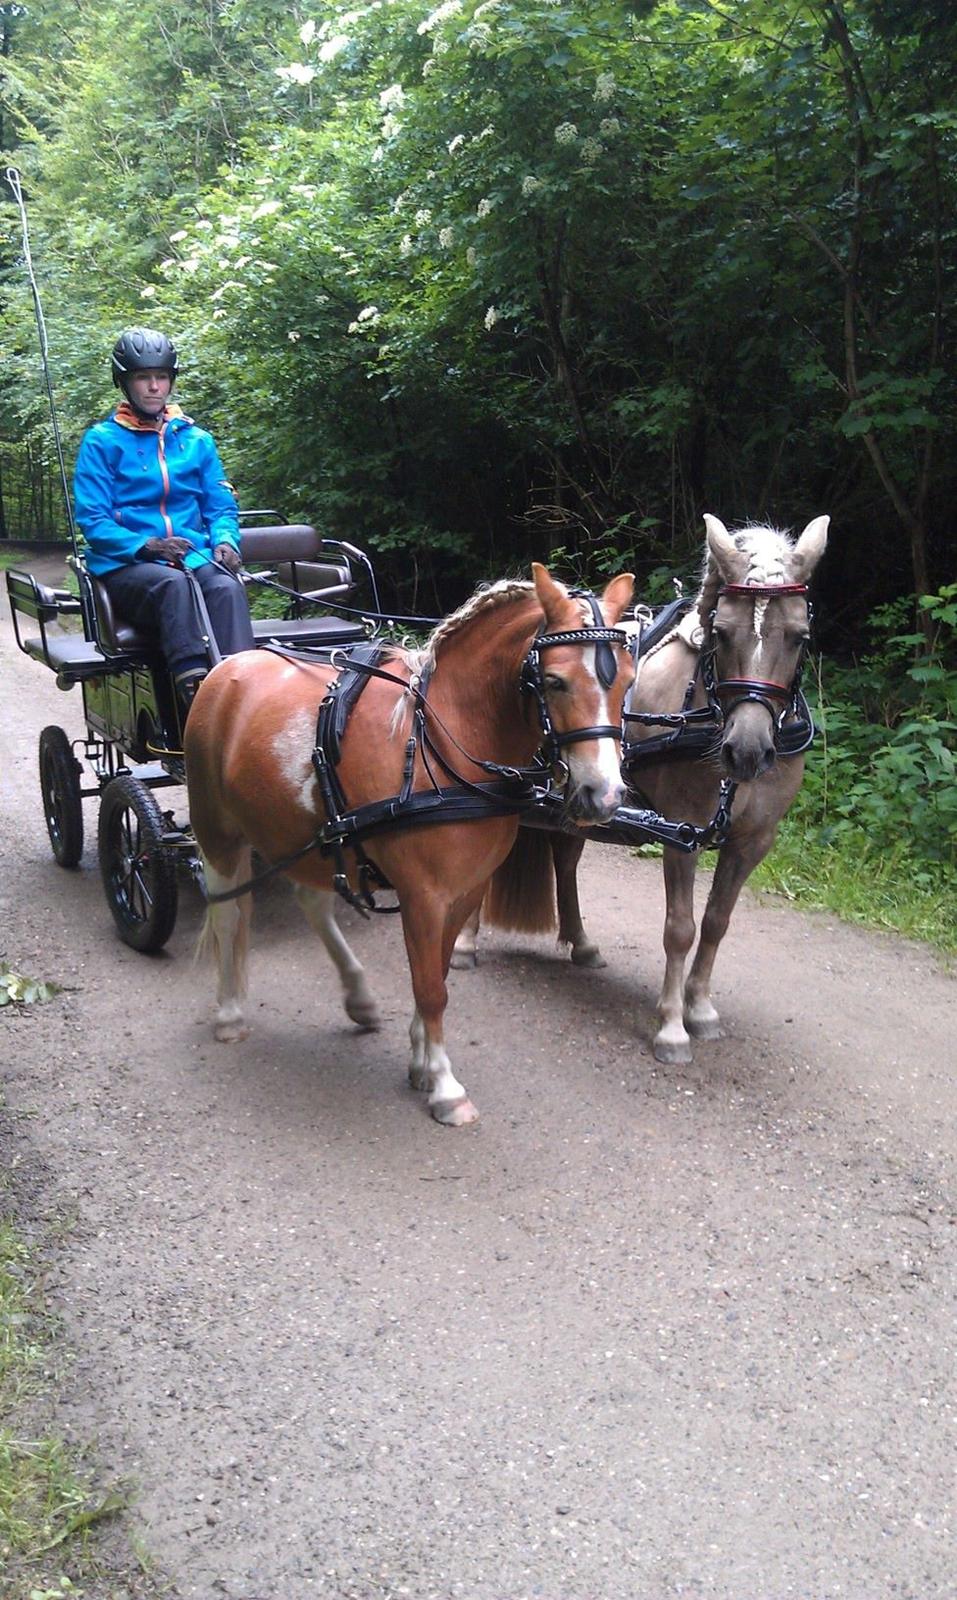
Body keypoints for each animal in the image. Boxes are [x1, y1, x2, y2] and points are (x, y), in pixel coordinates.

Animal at [186, 563, 636, 1126]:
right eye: (555, 681)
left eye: (627, 680)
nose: (605, 794)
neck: (439, 748)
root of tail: (227, 666)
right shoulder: (424, 895)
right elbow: (429, 987)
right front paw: (444, 1085)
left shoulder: (465, 891)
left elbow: (437, 972)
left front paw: (422, 1061)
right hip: (217, 830)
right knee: (227, 914)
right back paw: (228, 1012)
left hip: (310, 833)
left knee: (311, 901)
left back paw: (357, 996)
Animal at [454, 512, 825, 1062]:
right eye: (722, 632)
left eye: (799, 635)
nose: (747, 750)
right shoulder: (681, 833)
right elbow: (680, 929)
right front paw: (671, 1026)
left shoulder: (753, 842)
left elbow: (716, 923)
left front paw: (700, 1008)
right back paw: (465, 942)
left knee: (566, 861)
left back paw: (581, 942)